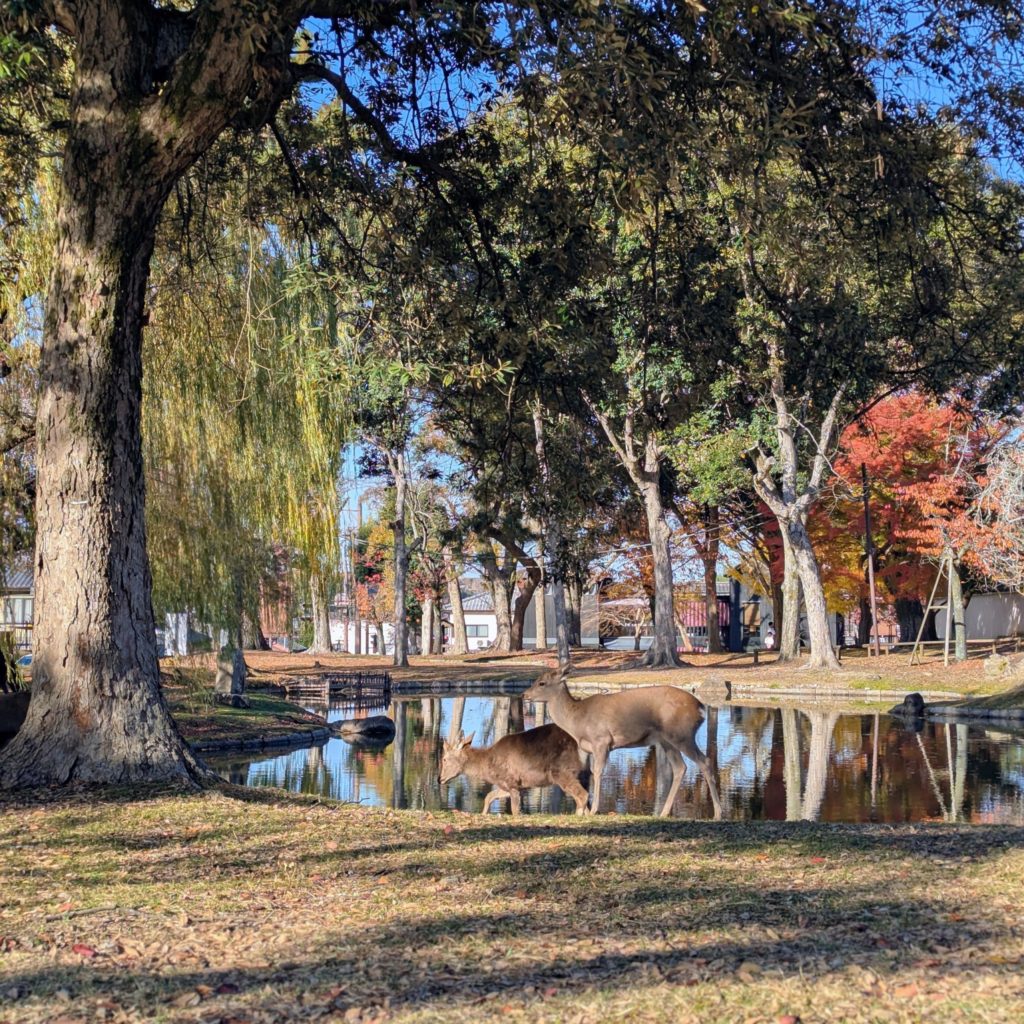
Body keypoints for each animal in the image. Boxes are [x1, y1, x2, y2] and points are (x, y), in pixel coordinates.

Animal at [438, 723, 591, 815]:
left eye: (444, 759)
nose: (439, 779)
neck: (488, 766)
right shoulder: (514, 785)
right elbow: (489, 796)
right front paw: (483, 814)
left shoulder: (511, 781)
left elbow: (514, 810)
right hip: (577, 773)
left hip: (561, 771)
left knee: (583, 795)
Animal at [523, 663, 723, 819]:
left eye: (542, 682)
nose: (524, 695)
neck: (577, 721)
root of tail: (701, 708)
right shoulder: (585, 748)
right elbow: (583, 773)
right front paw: (582, 810)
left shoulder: (602, 740)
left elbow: (597, 772)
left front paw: (594, 810)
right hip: (666, 740)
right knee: (680, 767)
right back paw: (664, 812)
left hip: (682, 734)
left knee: (704, 761)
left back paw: (718, 813)